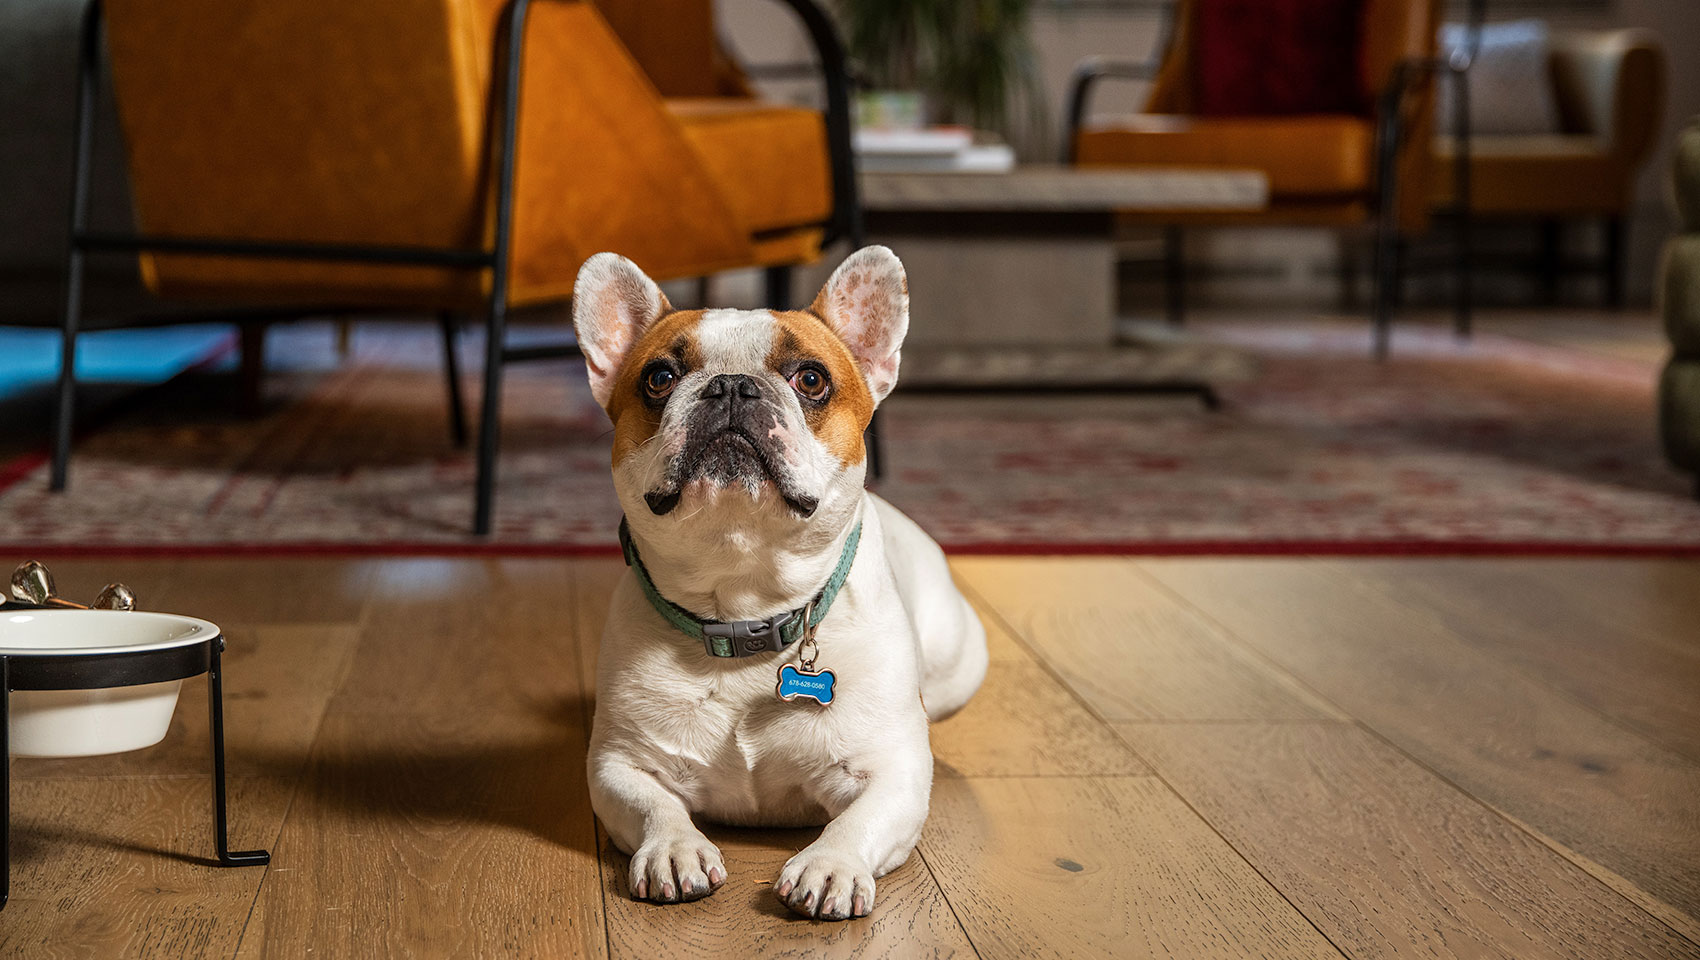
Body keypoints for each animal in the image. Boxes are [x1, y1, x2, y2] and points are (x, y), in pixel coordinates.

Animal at [578, 242, 992, 917]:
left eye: (811, 379)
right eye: (659, 378)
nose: (731, 385)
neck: (745, 606)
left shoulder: (891, 772)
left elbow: (858, 820)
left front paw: (829, 865)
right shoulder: (620, 765)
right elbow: (654, 806)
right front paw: (675, 849)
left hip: (959, 660)